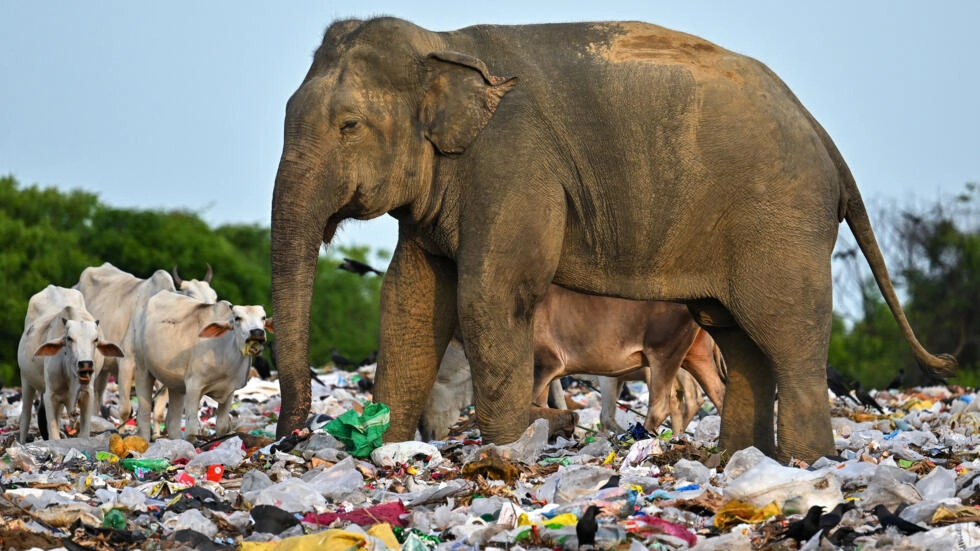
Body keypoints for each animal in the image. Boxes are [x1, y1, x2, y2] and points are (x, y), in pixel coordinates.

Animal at [18, 286, 122, 442]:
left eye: (95, 339)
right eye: (69, 338)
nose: (86, 363)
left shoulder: (87, 394)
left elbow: (84, 432)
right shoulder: (50, 395)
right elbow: (53, 433)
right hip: (26, 381)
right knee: (25, 416)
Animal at [73, 264, 216, 422]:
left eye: (215, 297)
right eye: (192, 297)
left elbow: (158, 413)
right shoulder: (126, 363)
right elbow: (125, 410)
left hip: (104, 368)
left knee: (98, 395)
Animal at [132, 296, 272, 442]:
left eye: (263, 317)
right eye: (237, 318)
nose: (257, 332)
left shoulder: (229, 391)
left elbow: (222, 426)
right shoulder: (194, 386)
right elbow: (192, 429)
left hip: (175, 384)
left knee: (172, 421)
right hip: (142, 368)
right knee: (143, 414)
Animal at [270, 16, 956, 462]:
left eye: (349, 125)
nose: (289, 440)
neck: (445, 44)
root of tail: (821, 132)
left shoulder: (514, 163)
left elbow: (491, 295)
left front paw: (504, 455)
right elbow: (409, 299)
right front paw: (387, 451)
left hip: (782, 217)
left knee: (785, 334)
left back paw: (803, 466)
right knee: (736, 332)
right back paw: (733, 463)